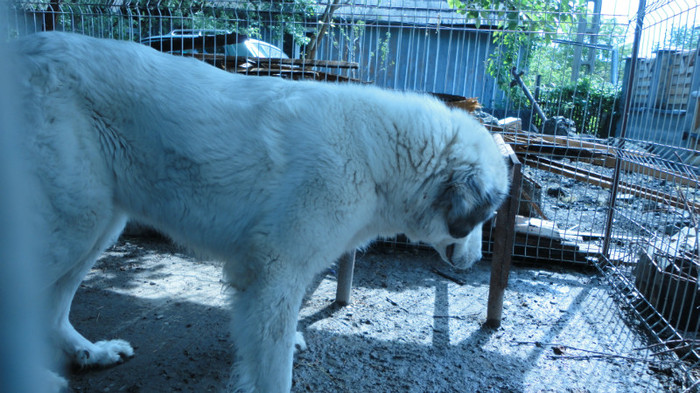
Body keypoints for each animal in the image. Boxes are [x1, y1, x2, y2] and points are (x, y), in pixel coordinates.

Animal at [13, 32, 508, 390]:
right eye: (485, 218)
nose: (477, 262)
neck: (381, 157)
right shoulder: (275, 270)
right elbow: (274, 368)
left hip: (98, 226)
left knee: (53, 309)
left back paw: (90, 353)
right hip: (73, 225)